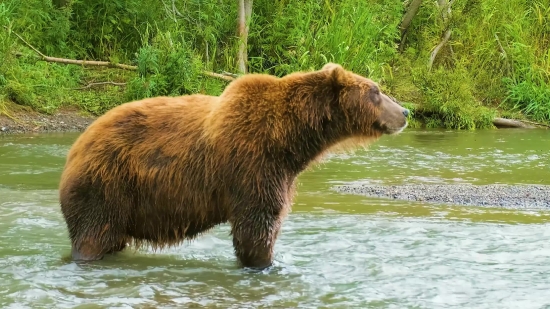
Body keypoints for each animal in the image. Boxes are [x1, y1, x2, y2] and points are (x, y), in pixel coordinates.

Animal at [59, 62, 410, 268]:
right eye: (376, 91)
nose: (405, 112)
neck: (291, 138)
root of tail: (75, 148)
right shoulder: (254, 163)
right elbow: (257, 226)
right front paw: (264, 263)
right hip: (106, 184)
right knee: (93, 234)